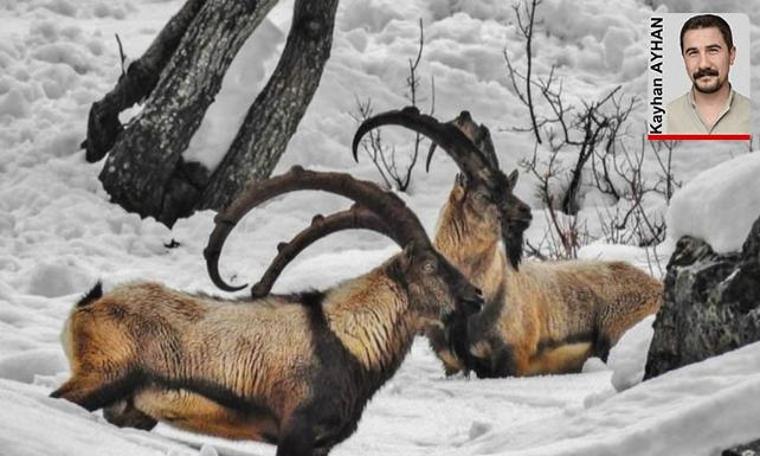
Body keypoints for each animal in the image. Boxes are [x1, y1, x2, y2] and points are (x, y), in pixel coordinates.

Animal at [52, 167, 480, 456]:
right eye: (431, 266)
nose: (475, 296)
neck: (346, 337)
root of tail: (90, 304)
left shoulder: (322, 444)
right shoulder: (296, 431)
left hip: (132, 409)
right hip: (103, 375)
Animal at [354, 108, 664, 378]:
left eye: (509, 188)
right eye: (484, 194)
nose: (525, 213)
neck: (491, 288)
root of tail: (657, 287)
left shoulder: (514, 359)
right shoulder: (451, 363)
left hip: (617, 330)